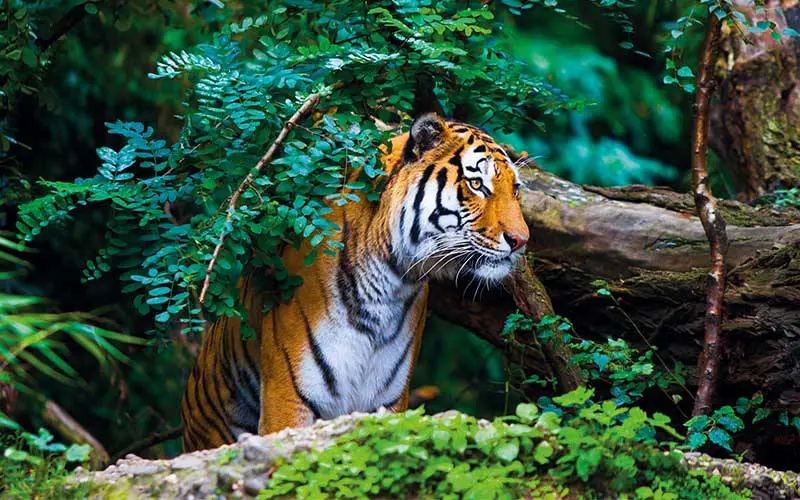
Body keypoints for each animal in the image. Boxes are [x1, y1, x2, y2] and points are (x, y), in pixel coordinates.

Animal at [181, 113, 530, 451]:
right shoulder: (287, 397)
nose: (521, 241)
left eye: (515, 189)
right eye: (477, 184)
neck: (391, 284)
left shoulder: (388, 401)